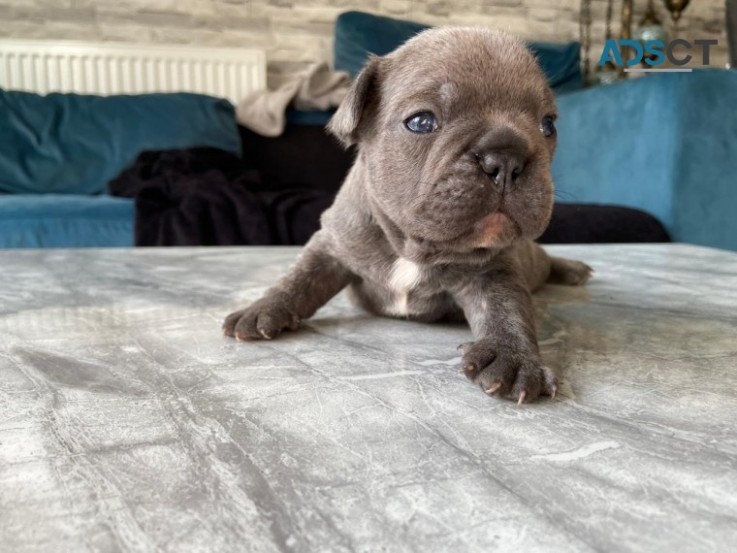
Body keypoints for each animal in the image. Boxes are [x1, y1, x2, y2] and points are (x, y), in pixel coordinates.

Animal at [221, 25, 588, 404]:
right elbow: (300, 277)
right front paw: (262, 308)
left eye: (548, 125)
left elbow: (508, 307)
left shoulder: (494, 269)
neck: (411, 247)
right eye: (421, 122)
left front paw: (514, 358)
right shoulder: (334, 242)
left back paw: (572, 269)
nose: (507, 157)